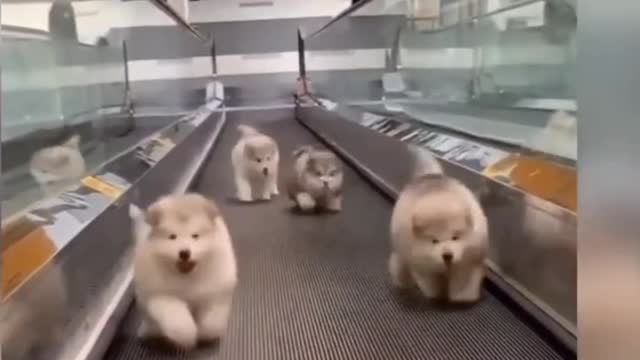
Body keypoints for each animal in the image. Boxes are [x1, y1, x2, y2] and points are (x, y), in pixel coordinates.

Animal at [132, 194, 238, 348]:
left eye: (195, 236)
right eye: (172, 236)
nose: (184, 253)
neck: (187, 277)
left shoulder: (214, 293)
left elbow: (212, 321)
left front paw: (205, 334)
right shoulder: (160, 295)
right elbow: (177, 318)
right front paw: (187, 336)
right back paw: (148, 332)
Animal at [388, 146, 488, 304]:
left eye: (455, 237)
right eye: (434, 241)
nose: (447, 255)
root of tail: (429, 175)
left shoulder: (468, 262)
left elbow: (464, 283)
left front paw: (463, 298)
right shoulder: (423, 267)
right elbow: (430, 283)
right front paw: (436, 296)